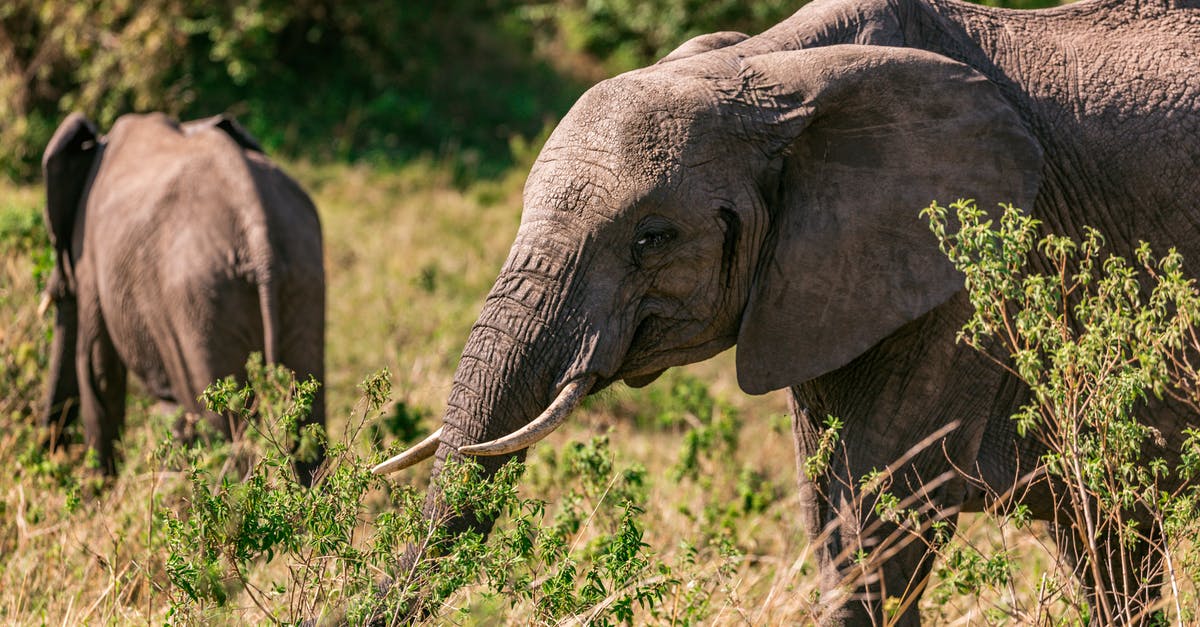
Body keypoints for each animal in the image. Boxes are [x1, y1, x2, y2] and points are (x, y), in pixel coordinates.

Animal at [42, 112, 326, 482]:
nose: (49, 456)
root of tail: (255, 225)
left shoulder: (89, 255)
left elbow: (97, 369)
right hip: (301, 272)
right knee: (307, 420)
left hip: (199, 297)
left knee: (220, 426)